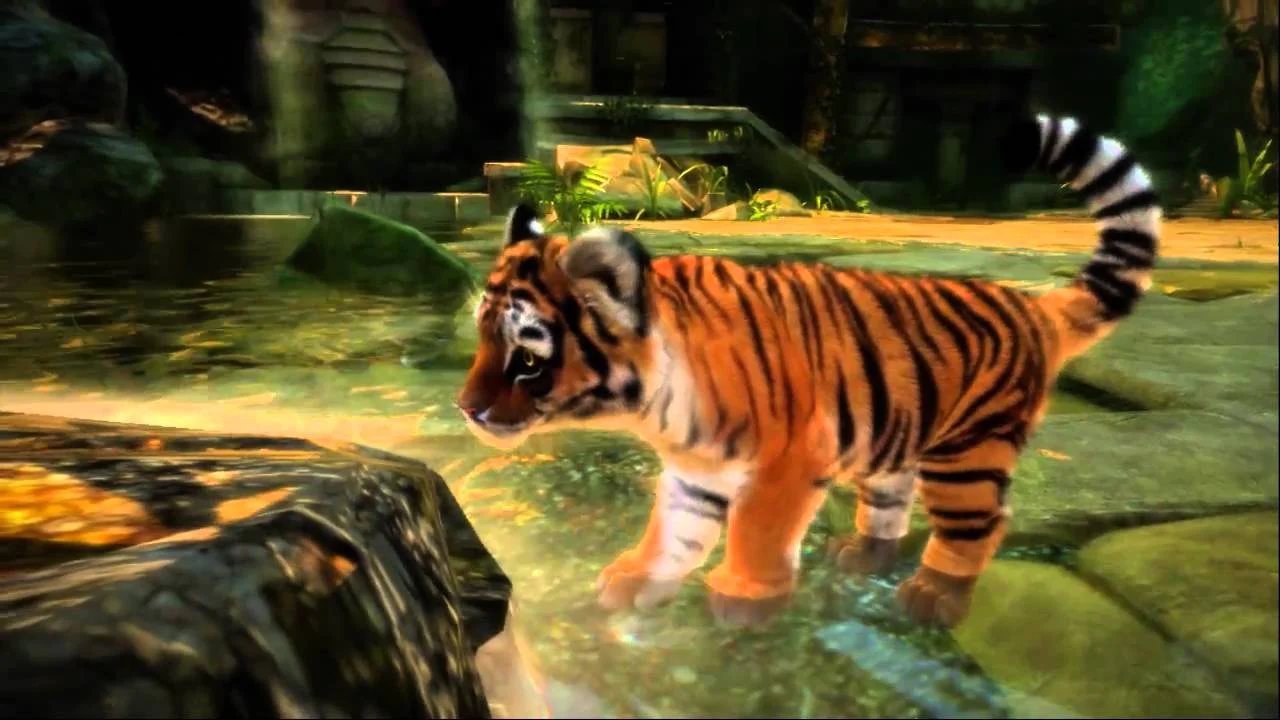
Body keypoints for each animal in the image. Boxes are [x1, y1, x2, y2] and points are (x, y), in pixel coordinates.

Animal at [456, 113, 1161, 629]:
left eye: (526, 358)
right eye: (482, 341)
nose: (467, 408)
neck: (654, 403)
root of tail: (1033, 305)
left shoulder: (785, 462)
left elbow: (756, 532)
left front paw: (743, 596)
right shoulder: (695, 467)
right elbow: (675, 530)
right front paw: (639, 578)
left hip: (970, 451)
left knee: (981, 523)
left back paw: (934, 595)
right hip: (897, 433)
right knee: (892, 498)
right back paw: (862, 555)